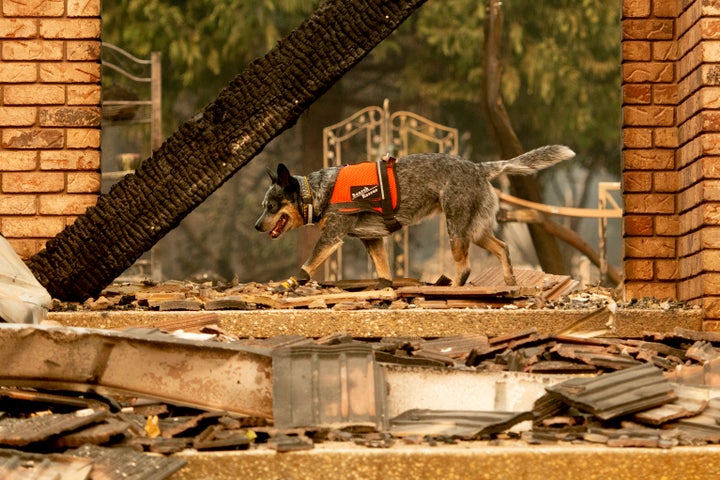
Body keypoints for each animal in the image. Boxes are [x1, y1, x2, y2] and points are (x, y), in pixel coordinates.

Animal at [253, 144, 572, 290]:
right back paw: (509, 281)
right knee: (503, 248)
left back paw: (452, 291)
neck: (319, 190)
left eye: (272, 206)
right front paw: (384, 289)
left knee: (465, 267)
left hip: (456, 228)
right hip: (475, 230)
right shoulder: (373, 240)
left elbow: (306, 267)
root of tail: (479, 167)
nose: (256, 226)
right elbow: (384, 274)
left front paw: (288, 283)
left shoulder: (332, 237)